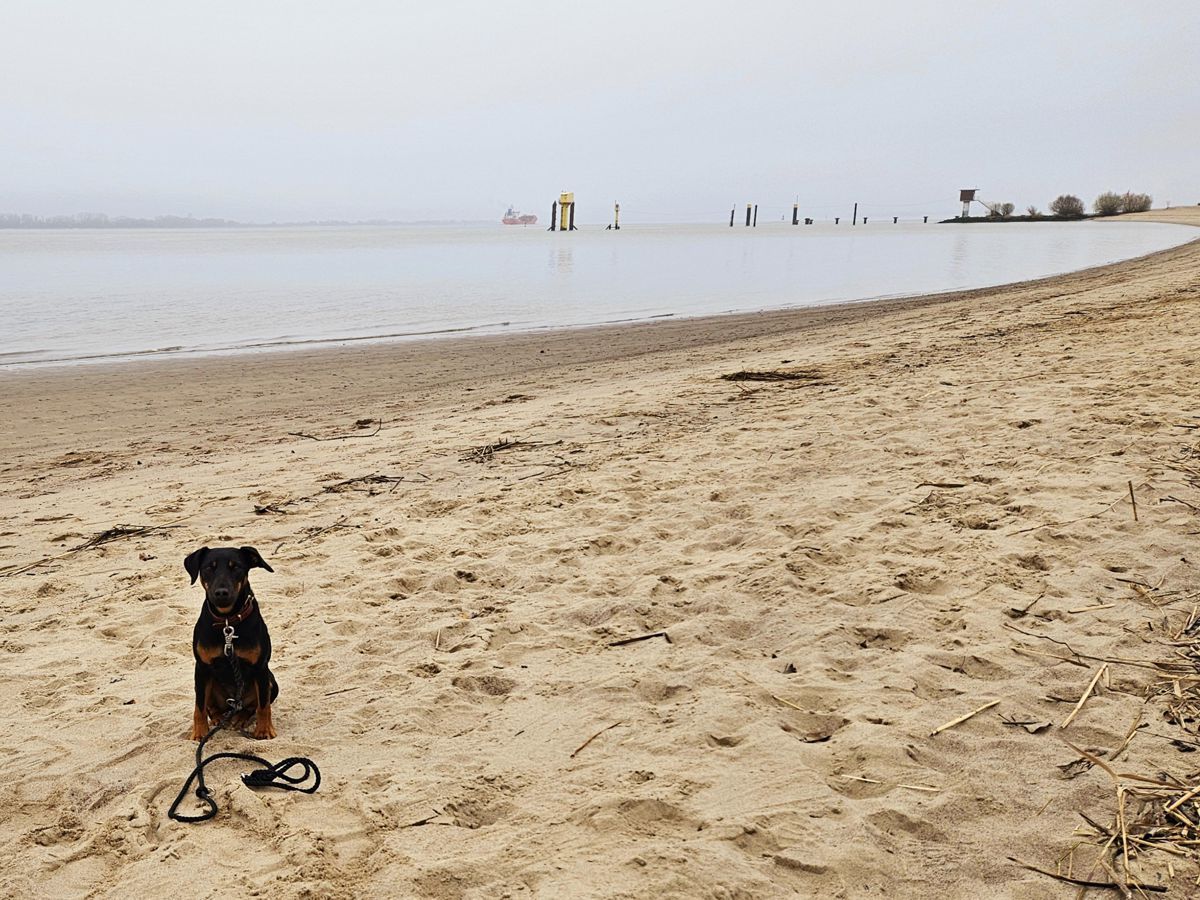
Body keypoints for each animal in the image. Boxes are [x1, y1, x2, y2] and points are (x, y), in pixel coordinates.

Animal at [184, 547, 278, 744]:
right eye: (209, 568)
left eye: (236, 567)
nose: (221, 592)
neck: (227, 621)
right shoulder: (202, 668)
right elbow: (199, 706)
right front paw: (200, 732)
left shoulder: (260, 668)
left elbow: (263, 705)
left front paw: (264, 730)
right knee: (210, 706)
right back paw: (219, 718)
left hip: (271, 682)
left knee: (251, 706)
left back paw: (240, 718)